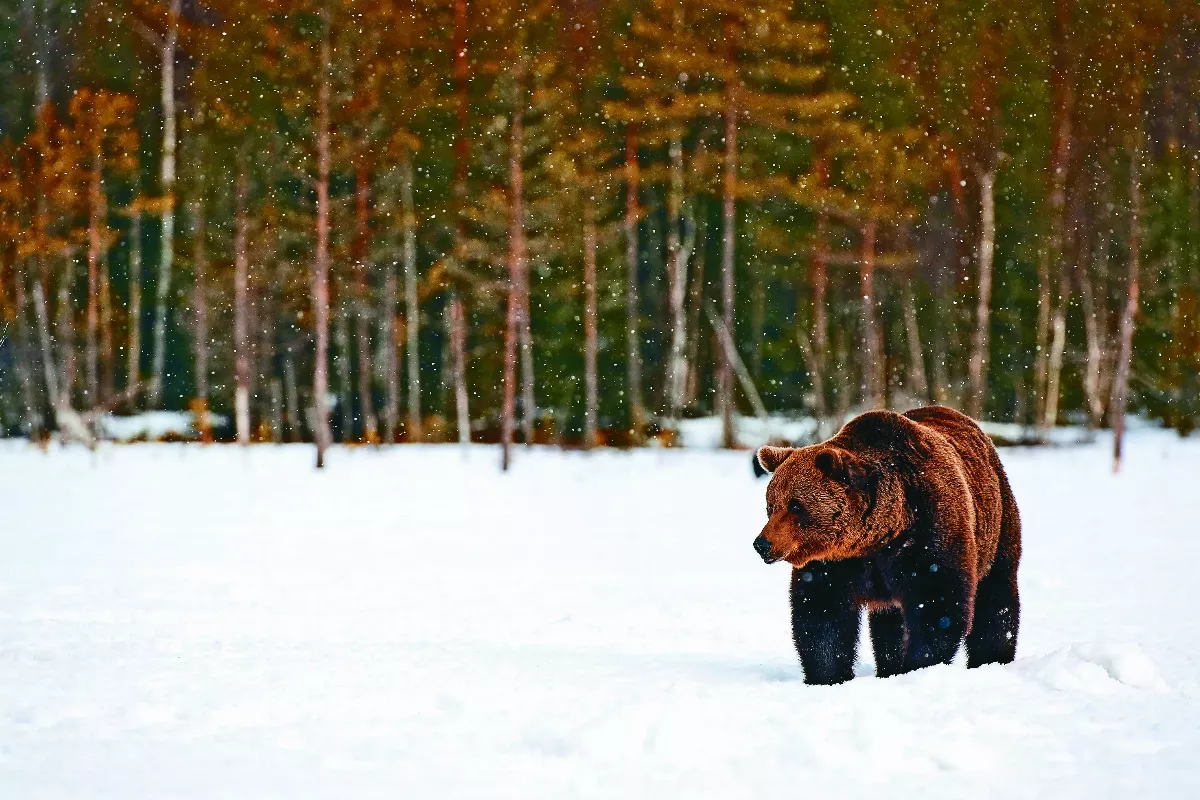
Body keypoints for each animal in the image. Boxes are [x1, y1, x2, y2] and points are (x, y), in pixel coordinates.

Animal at [753, 405, 1021, 685]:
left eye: (796, 505)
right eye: (771, 505)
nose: (762, 544)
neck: (880, 535)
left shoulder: (929, 533)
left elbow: (938, 604)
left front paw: (919, 665)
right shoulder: (835, 562)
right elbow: (823, 615)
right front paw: (827, 675)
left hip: (996, 522)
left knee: (996, 595)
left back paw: (992, 658)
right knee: (890, 622)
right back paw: (888, 667)